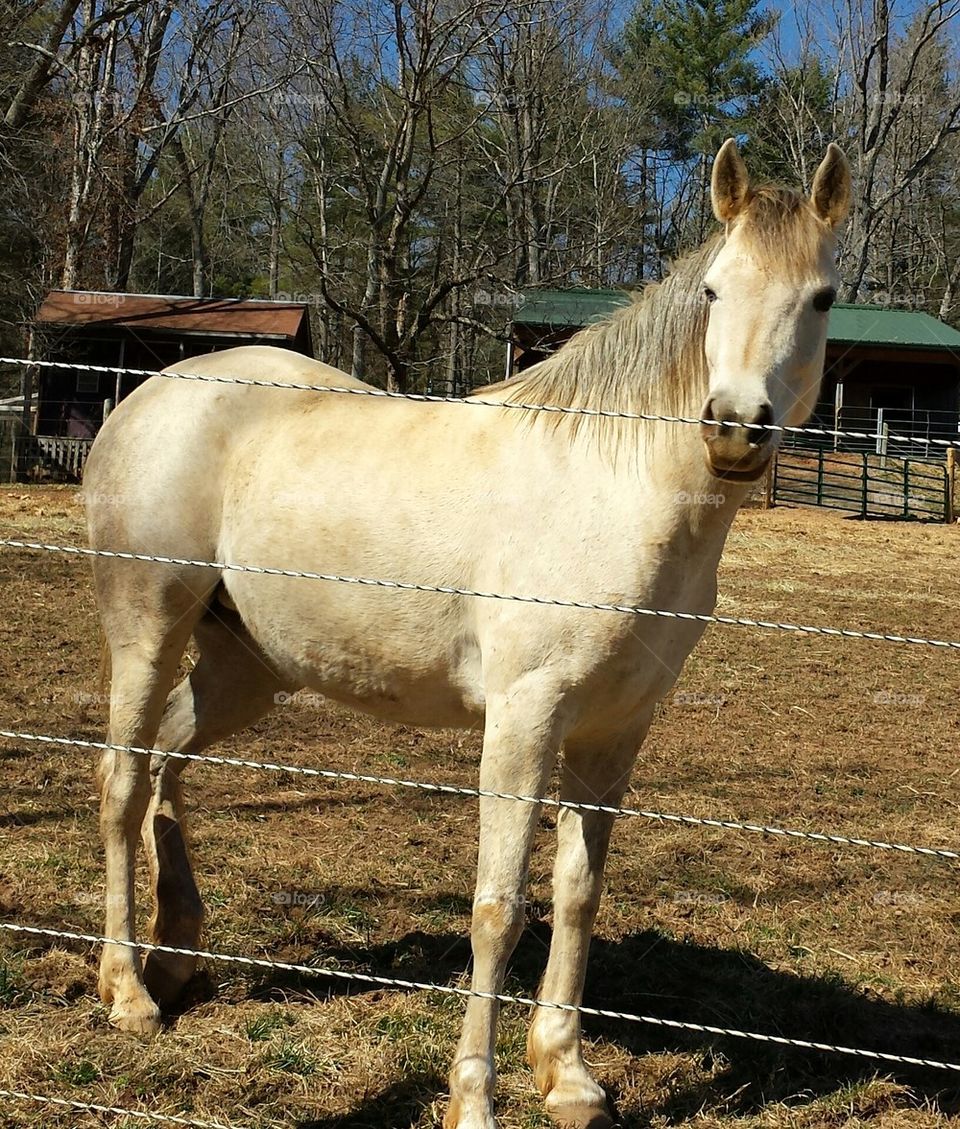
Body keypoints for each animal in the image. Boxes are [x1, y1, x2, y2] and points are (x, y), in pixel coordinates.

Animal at [83, 139, 850, 1129]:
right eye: (715, 290)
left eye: (822, 297)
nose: (734, 430)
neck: (613, 489)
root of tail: (150, 395)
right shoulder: (524, 718)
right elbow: (499, 907)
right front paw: (475, 1099)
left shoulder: (614, 730)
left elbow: (578, 893)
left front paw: (567, 1075)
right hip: (146, 625)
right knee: (122, 782)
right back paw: (128, 991)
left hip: (244, 664)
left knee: (168, 764)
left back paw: (178, 953)